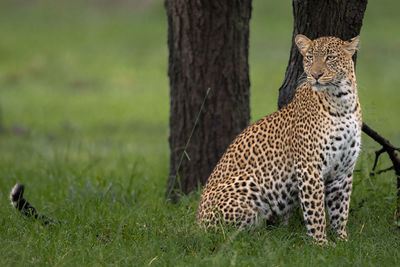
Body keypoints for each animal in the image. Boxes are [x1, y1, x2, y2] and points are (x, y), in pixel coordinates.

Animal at [197, 34, 362, 246]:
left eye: (330, 57)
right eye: (309, 58)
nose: (315, 74)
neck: (343, 102)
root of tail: (196, 225)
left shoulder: (343, 170)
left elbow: (340, 210)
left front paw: (342, 240)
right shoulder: (309, 166)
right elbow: (316, 211)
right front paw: (320, 244)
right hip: (248, 185)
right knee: (226, 235)